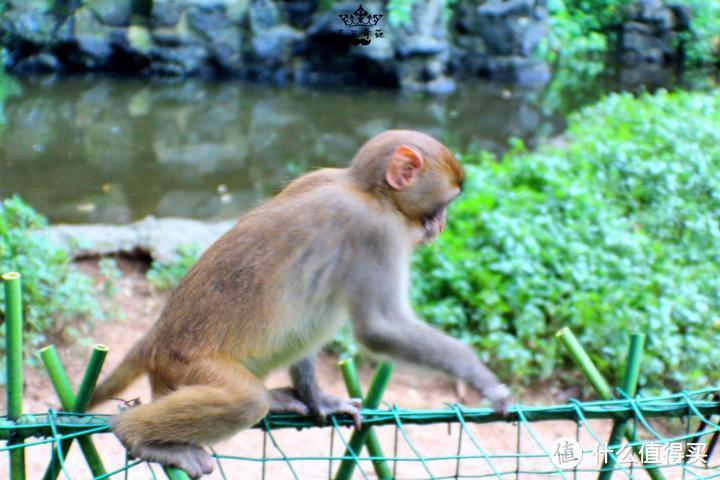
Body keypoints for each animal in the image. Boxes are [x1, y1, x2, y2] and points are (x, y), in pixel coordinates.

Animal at [91, 129, 512, 478]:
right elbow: (379, 328)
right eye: (442, 204)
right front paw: (481, 377)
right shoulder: (375, 231)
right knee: (246, 400)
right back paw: (137, 435)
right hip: (186, 367)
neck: (363, 188)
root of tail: (158, 336)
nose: (440, 225)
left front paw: (318, 399)